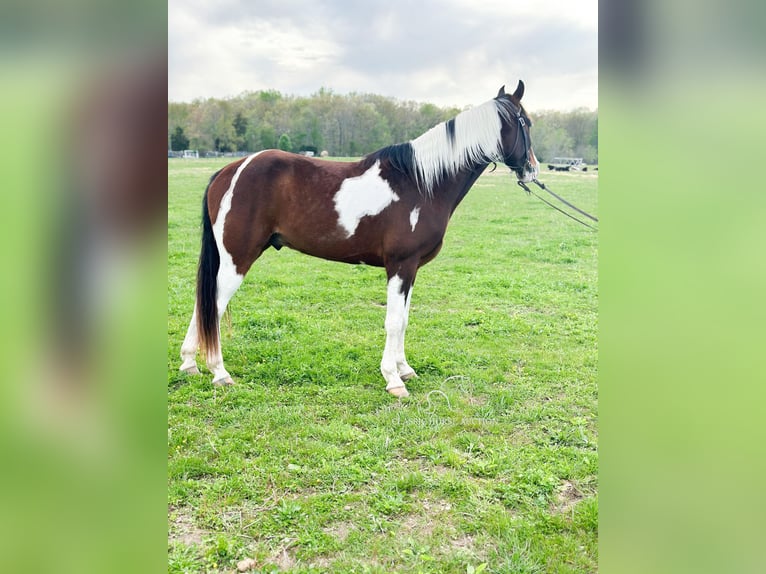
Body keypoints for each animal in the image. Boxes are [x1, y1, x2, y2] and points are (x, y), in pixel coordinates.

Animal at [179, 81, 540, 398]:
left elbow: (404, 320)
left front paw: (404, 369)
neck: (421, 183)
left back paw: (189, 364)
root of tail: (231, 171)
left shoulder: (411, 269)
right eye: (528, 123)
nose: (532, 169)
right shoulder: (400, 266)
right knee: (213, 306)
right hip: (237, 260)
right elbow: (393, 321)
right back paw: (219, 372)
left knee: (203, 305)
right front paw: (394, 380)